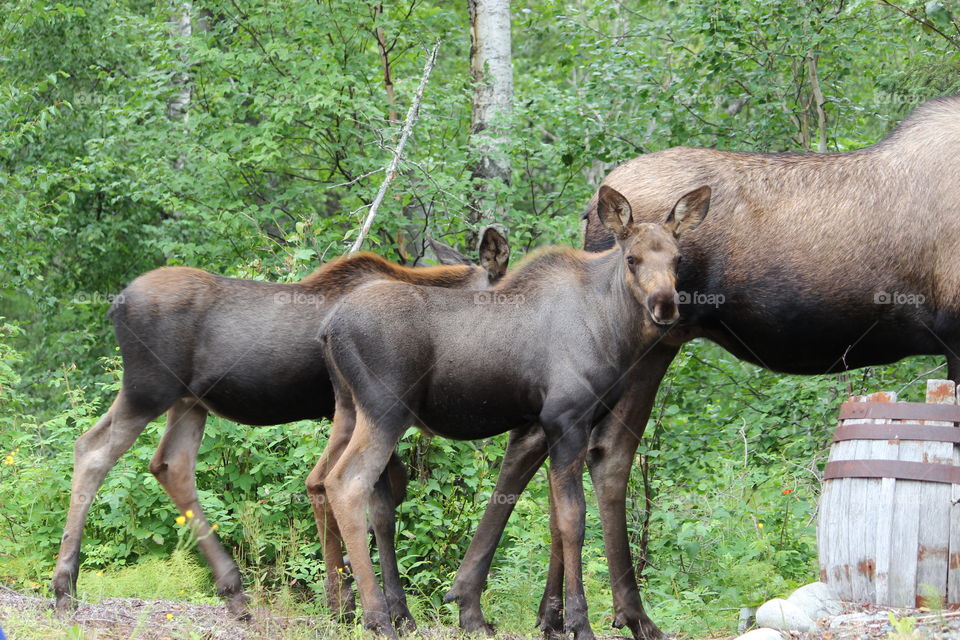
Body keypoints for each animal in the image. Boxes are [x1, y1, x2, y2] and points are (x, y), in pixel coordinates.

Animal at [50, 229, 510, 620]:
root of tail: (116, 303)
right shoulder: (371, 411)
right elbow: (377, 504)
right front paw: (383, 607)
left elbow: (353, 492)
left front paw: (346, 597)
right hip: (148, 390)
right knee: (92, 450)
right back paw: (64, 589)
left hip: (188, 402)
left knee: (170, 465)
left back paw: (233, 591)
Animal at [318, 182, 708, 636]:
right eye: (632, 258)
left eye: (677, 259)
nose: (665, 306)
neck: (612, 327)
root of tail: (328, 329)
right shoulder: (565, 419)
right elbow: (573, 520)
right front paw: (579, 622)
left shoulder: (547, 426)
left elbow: (551, 520)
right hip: (385, 411)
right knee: (347, 484)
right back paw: (378, 617)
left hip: (348, 410)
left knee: (331, 483)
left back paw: (374, 611)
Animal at [446, 92, 960, 636]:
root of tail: (592, 209)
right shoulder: (956, 338)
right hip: (645, 344)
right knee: (598, 454)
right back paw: (618, 613)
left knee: (547, 452)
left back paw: (536, 612)